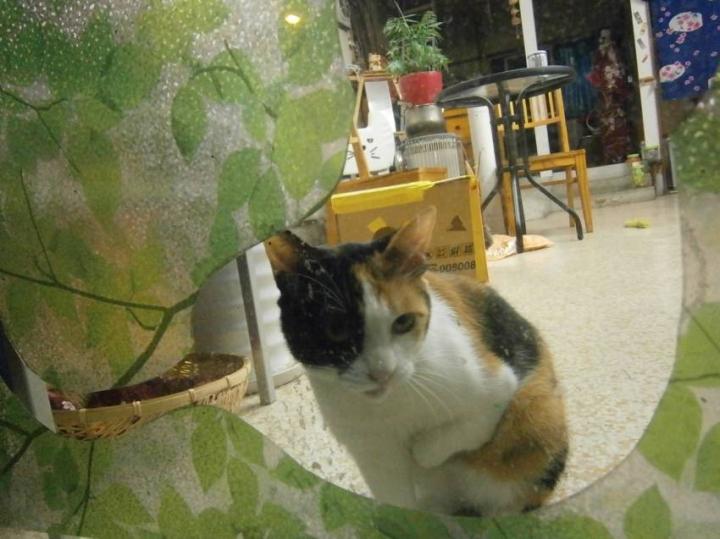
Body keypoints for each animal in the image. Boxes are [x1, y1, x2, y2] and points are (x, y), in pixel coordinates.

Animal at [264, 207, 568, 516]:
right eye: (336, 329)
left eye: (404, 322)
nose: (382, 372)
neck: (390, 409)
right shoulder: (371, 454)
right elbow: (396, 499)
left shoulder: (497, 387)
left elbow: (468, 425)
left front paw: (422, 453)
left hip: (538, 416)